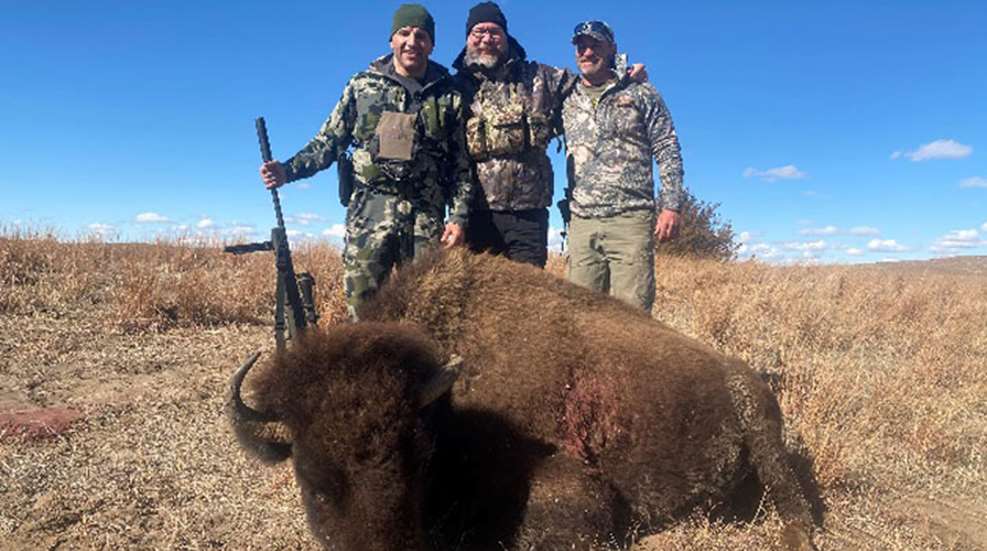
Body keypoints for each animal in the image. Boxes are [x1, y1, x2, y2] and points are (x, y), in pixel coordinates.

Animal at [229, 248, 816, 550]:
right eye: (311, 481)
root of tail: (743, 374)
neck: (448, 405)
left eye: (412, 464)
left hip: (766, 434)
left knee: (795, 506)